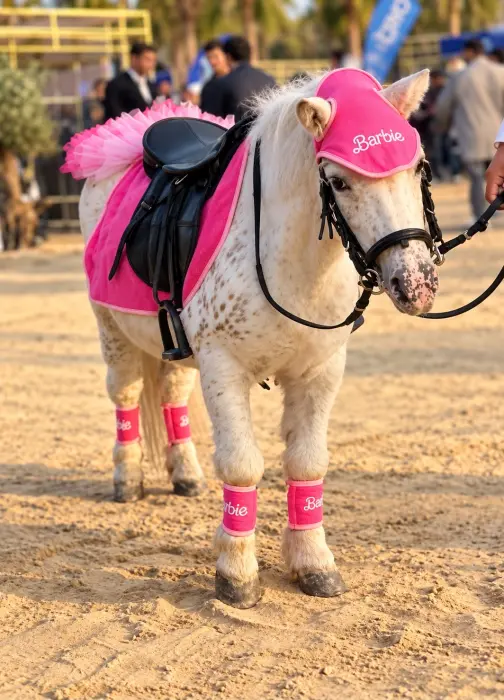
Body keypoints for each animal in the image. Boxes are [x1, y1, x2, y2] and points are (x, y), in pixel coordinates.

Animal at [75, 68, 439, 609]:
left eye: (417, 168)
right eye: (339, 180)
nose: (415, 283)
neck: (288, 259)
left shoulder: (320, 372)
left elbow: (308, 463)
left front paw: (314, 564)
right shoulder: (224, 368)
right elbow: (242, 466)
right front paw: (237, 575)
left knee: (171, 394)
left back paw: (184, 474)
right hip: (112, 330)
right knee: (126, 396)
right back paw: (128, 479)